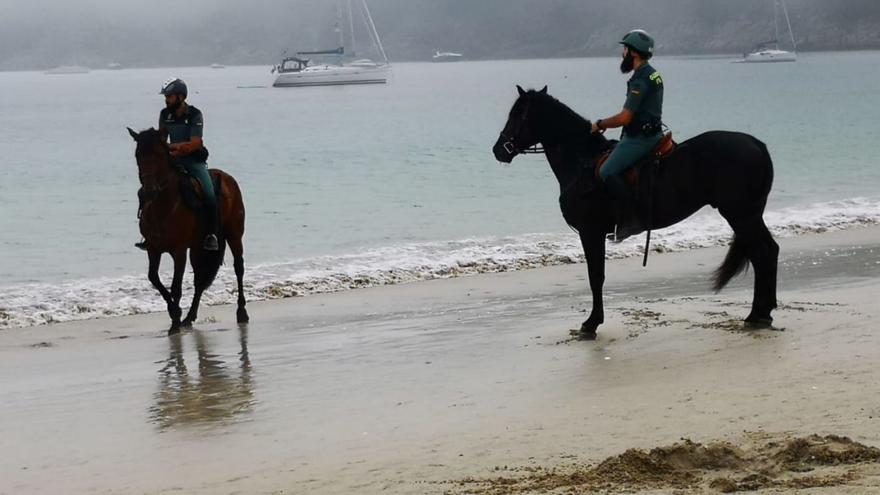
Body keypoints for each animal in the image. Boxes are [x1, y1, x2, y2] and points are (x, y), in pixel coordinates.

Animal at [126, 129, 248, 338]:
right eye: (138, 155)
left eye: (159, 154)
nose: (149, 191)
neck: (163, 206)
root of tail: (228, 178)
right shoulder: (153, 248)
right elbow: (153, 278)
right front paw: (174, 312)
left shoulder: (179, 250)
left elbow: (176, 286)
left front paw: (174, 320)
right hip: (198, 247)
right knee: (199, 280)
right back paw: (189, 318)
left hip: (234, 234)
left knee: (238, 267)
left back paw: (241, 312)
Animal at [492, 86, 780, 340]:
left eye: (517, 115)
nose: (498, 150)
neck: (582, 162)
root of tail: (755, 144)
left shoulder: (590, 232)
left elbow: (596, 276)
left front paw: (591, 324)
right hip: (750, 214)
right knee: (769, 251)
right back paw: (763, 312)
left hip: (740, 214)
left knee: (762, 254)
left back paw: (757, 314)